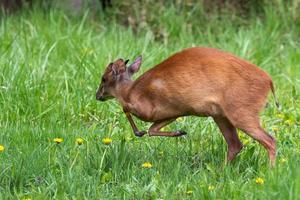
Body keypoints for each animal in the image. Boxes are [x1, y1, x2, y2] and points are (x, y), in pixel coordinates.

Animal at [96, 47, 278, 166]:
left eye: (103, 78)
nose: (98, 96)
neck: (131, 92)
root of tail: (269, 81)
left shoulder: (149, 110)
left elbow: (127, 110)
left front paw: (139, 132)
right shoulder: (174, 112)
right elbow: (152, 130)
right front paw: (179, 132)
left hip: (241, 112)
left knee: (269, 140)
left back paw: (270, 171)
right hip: (220, 115)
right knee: (236, 145)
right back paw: (220, 170)